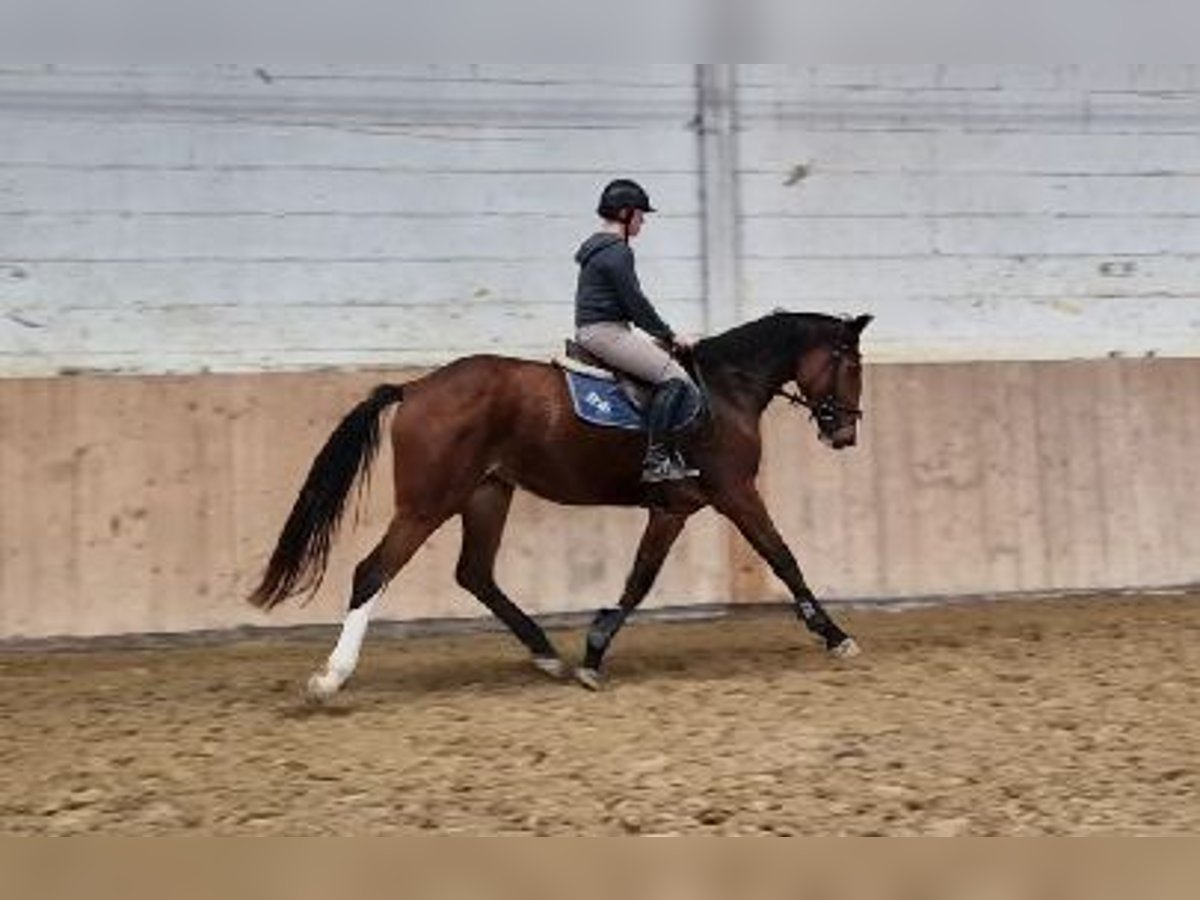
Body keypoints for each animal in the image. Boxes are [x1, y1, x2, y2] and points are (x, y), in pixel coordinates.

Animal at [247, 311, 873, 696]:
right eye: (850, 364)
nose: (845, 435)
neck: (724, 389)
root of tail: (417, 388)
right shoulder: (733, 493)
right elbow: (782, 557)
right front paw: (836, 636)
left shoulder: (673, 509)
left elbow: (639, 579)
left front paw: (592, 653)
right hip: (428, 503)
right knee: (372, 572)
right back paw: (332, 677)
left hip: (486, 494)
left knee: (475, 574)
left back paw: (546, 653)